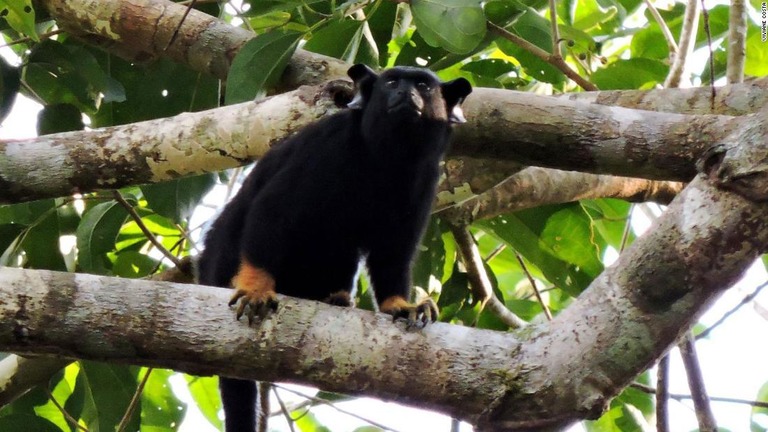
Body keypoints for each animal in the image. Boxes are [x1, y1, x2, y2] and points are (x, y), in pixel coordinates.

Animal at [198, 64, 472, 432]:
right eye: (391, 82)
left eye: (423, 85)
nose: (406, 93)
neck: (387, 158)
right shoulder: (329, 145)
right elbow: (272, 209)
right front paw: (256, 288)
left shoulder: (425, 176)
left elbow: (394, 252)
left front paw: (400, 305)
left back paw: (335, 298)